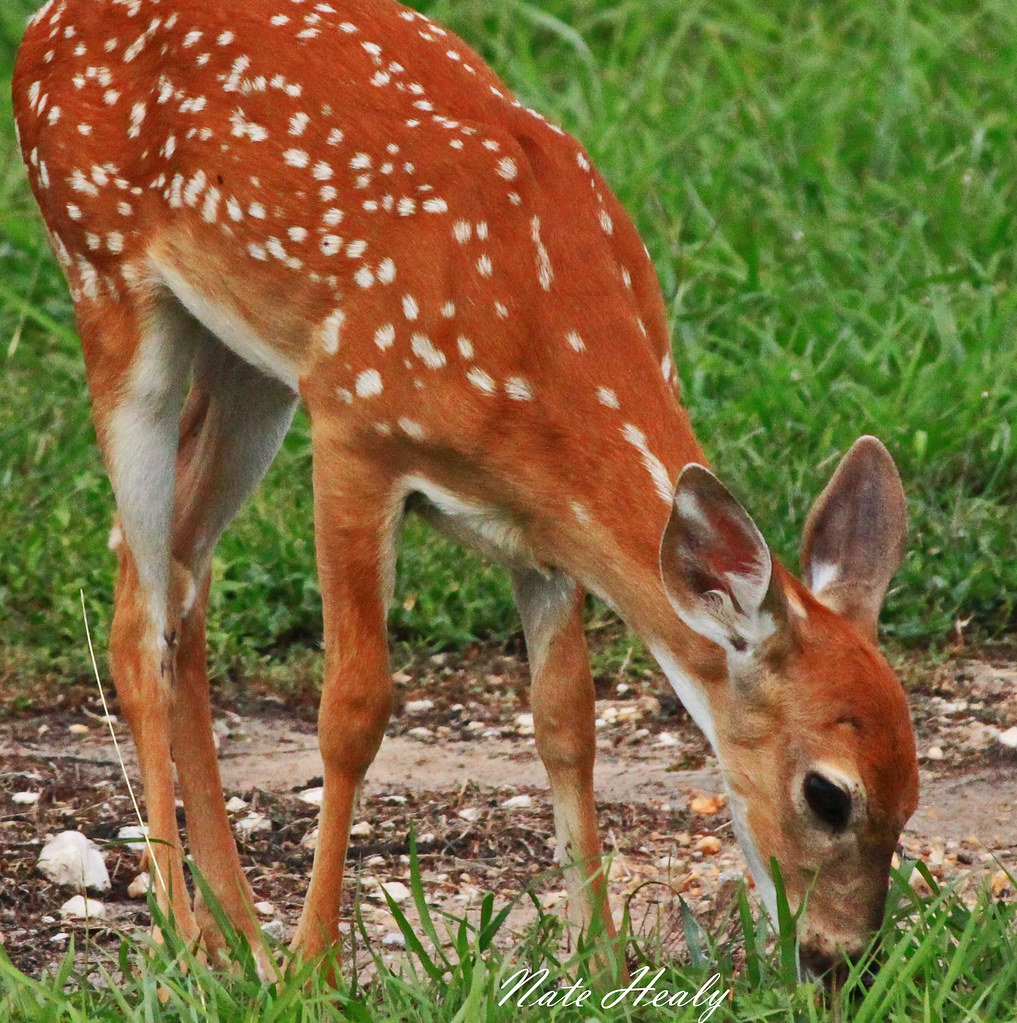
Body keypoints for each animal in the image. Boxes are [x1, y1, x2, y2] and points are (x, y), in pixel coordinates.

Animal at [13, 0, 918, 984]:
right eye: (828, 793)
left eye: (912, 792)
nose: (842, 959)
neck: (535, 343)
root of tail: (43, 28)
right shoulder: (356, 425)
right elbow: (353, 711)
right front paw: (316, 968)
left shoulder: (544, 535)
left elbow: (567, 722)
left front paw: (599, 962)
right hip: (104, 273)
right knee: (139, 618)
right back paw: (184, 936)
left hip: (246, 358)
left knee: (182, 580)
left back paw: (236, 933)